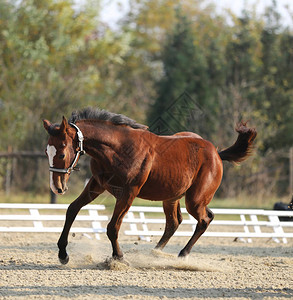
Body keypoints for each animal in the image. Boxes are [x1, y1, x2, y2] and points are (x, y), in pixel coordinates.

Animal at [42, 106, 256, 264]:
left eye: (61, 153)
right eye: (46, 152)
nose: (57, 188)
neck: (117, 149)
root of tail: (216, 153)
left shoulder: (128, 192)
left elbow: (113, 227)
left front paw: (118, 257)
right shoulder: (97, 185)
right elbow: (72, 209)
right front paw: (63, 254)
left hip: (194, 200)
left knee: (204, 219)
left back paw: (182, 254)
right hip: (172, 197)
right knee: (176, 221)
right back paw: (155, 253)